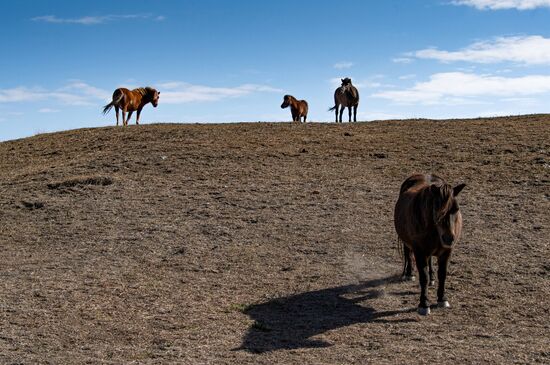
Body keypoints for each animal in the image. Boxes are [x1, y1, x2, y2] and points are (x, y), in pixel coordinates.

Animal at [394, 173, 468, 312]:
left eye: (456, 209)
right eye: (437, 209)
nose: (449, 238)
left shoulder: (446, 252)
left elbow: (442, 274)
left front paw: (442, 299)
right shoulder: (419, 252)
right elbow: (423, 277)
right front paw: (424, 304)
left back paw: (432, 277)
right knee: (408, 252)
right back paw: (409, 274)